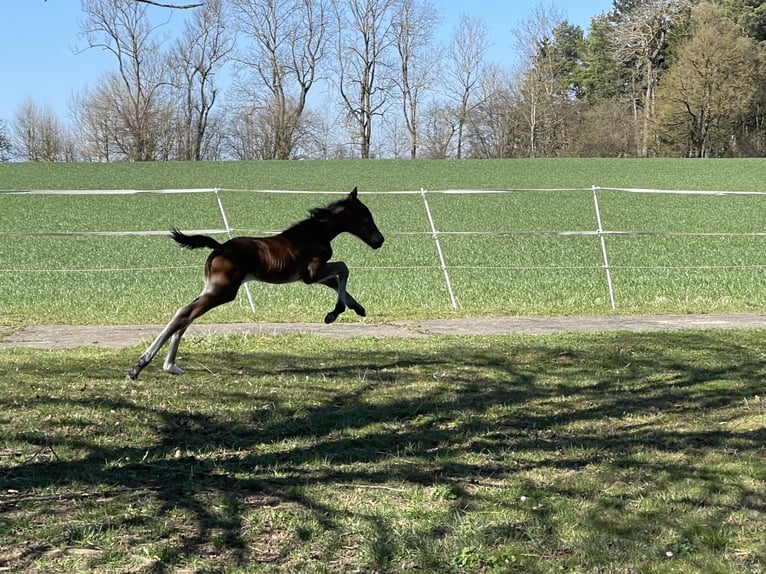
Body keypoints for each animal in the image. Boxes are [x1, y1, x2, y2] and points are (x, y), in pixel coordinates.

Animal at [127, 187, 384, 380]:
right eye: (366, 218)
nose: (379, 240)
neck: (313, 234)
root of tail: (220, 247)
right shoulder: (311, 274)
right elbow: (343, 268)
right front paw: (334, 313)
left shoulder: (310, 276)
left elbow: (336, 280)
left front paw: (356, 308)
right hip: (223, 291)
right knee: (184, 313)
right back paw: (140, 366)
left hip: (212, 288)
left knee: (186, 316)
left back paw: (169, 366)